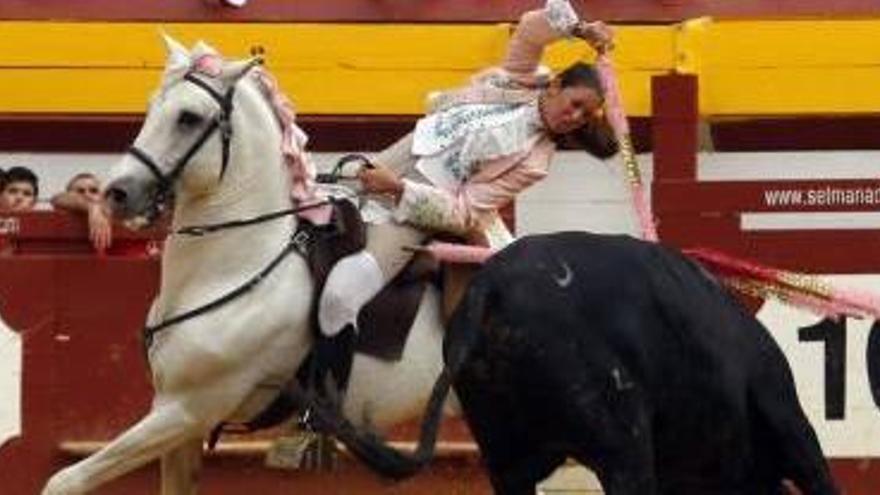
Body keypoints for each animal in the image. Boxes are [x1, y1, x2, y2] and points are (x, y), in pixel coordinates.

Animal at [43, 37, 454, 495]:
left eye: (188, 118)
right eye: (151, 106)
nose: (116, 194)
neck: (233, 269)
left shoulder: (188, 409)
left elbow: (65, 479)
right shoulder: (175, 420)